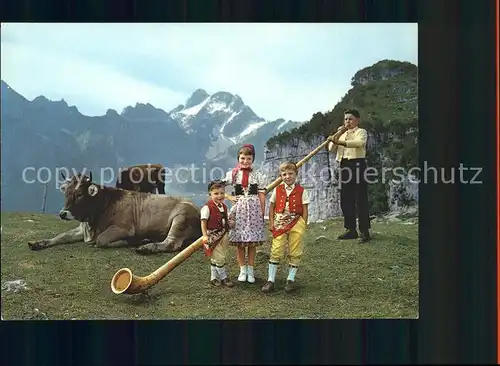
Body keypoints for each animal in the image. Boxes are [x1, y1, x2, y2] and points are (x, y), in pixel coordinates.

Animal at [27, 170, 201, 253]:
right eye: (66, 193)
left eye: (80, 195)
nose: (63, 213)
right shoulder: (81, 229)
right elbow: (61, 236)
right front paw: (38, 243)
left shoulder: (123, 228)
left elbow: (101, 240)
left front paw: (129, 241)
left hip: (181, 217)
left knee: (171, 243)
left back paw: (145, 247)